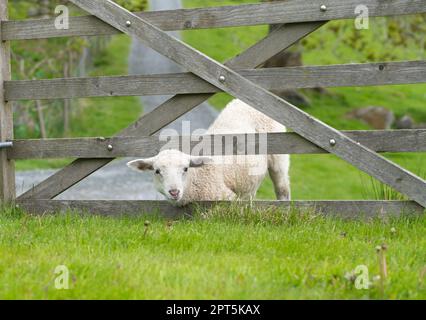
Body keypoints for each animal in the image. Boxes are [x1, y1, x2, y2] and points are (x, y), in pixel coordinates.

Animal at [127, 99, 290, 206]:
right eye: (157, 171)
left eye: (185, 169)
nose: (174, 192)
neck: (196, 178)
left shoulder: (226, 197)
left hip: (278, 157)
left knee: (282, 187)